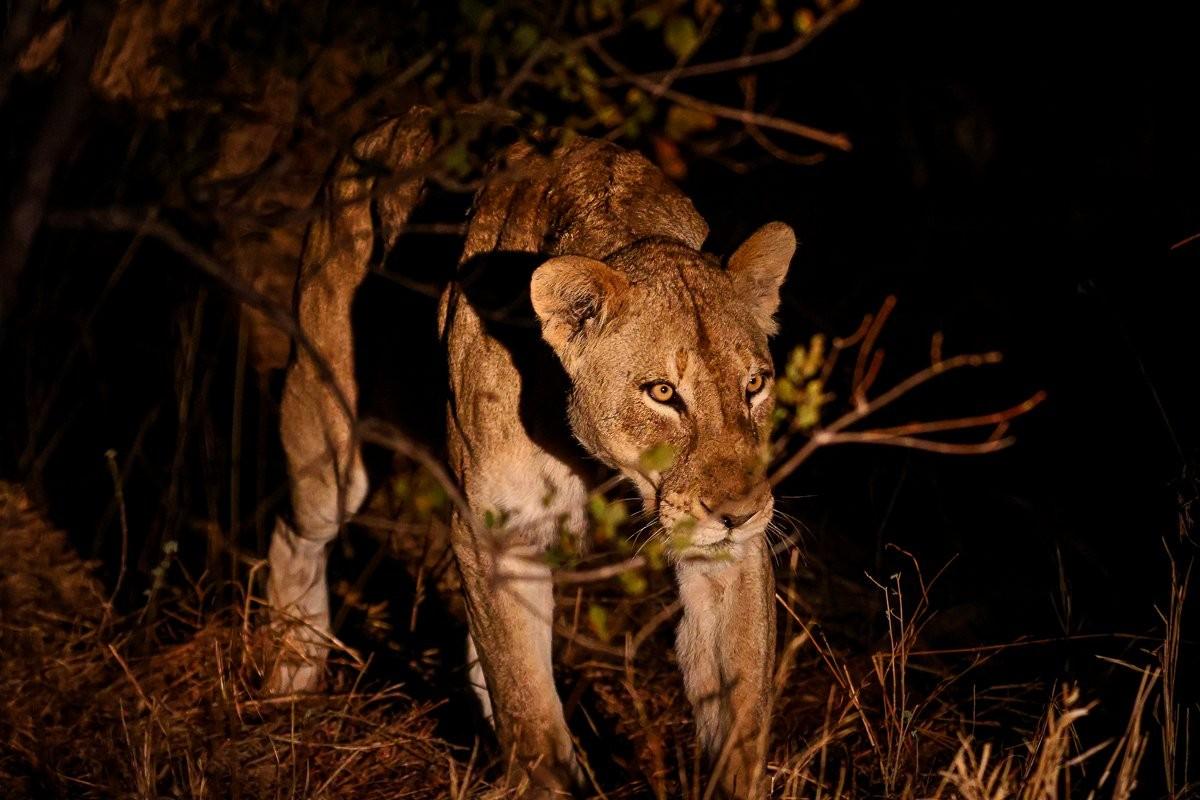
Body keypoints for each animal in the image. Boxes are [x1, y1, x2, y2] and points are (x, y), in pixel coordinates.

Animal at [265, 109, 795, 799]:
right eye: (663, 393)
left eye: (753, 385)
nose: (739, 513)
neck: (606, 466)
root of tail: (384, 124)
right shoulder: (499, 533)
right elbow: (530, 708)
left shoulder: (726, 558)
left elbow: (739, 713)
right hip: (328, 432)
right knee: (295, 530)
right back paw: (291, 676)